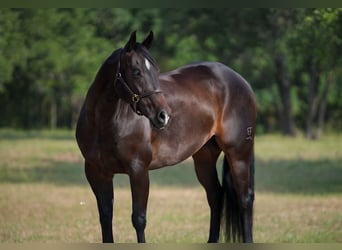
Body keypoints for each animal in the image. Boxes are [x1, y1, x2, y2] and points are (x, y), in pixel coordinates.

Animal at [75, 30, 256, 242]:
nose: (164, 116)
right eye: (136, 71)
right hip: (204, 157)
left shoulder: (138, 171)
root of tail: (240, 81)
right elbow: (105, 217)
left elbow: (139, 219)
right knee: (216, 197)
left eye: (156, 70)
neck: (104, 123)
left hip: (238, 154)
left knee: (245, 199)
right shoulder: (97, 173)